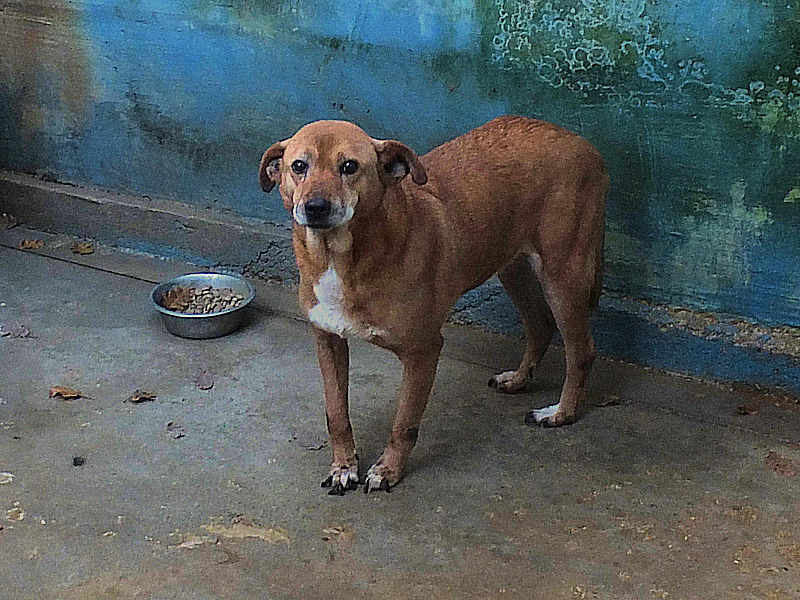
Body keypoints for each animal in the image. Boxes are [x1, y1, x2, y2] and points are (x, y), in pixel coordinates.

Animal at [259, 116, 607, 494]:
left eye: (349, 166)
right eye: (298, 166)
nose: (315, 207)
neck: (344, 257)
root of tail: (580, 142)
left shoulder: (423, 350)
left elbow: (404, 422)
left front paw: (388, 470)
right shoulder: (327, 338)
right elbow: (336, 413)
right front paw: (343, 466)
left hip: (563, 275)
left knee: (581, 351)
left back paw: (560, 413)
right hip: (511, 266)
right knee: (540, 325)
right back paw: (518, 379)